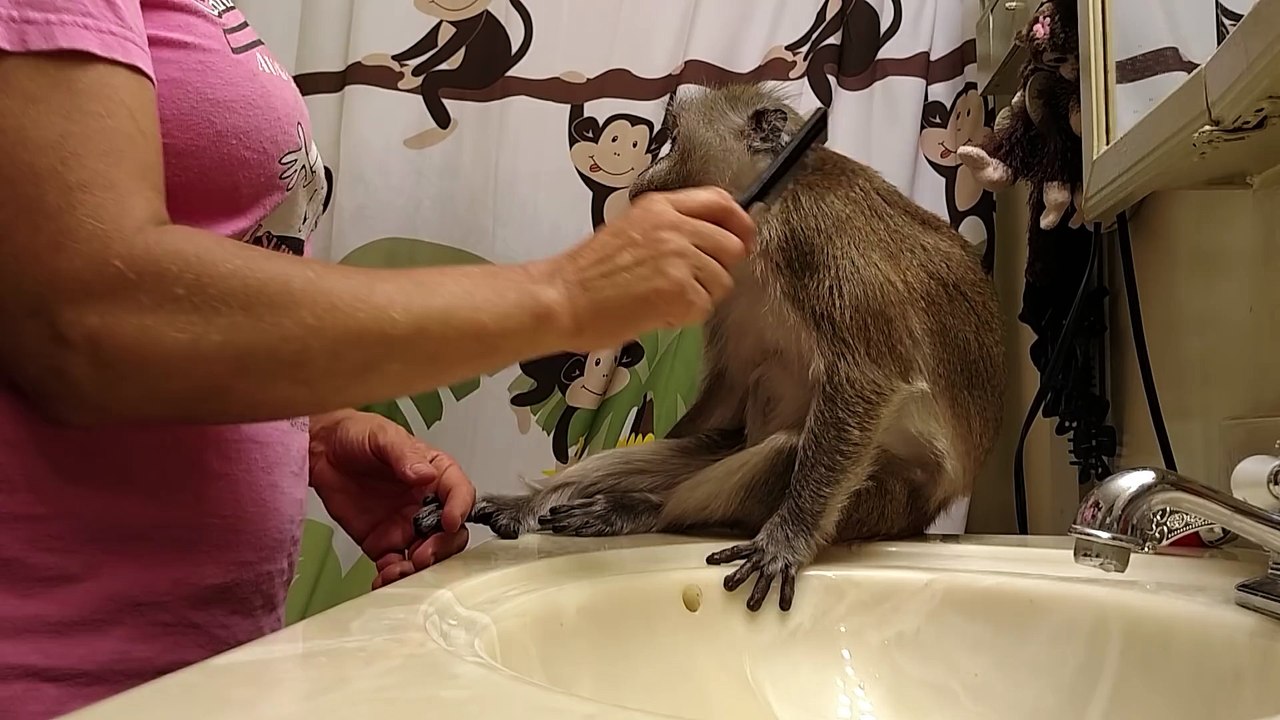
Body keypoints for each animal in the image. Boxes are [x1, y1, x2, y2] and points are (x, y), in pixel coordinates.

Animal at [364, 0, 533, 150]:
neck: (456, 20)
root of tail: (504, 67)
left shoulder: (469, 27)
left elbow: (443, 51)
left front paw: (413, 76)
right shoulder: (441, 26)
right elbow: (425, 43)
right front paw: (389, 60)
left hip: (471, 78)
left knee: (431, 82)